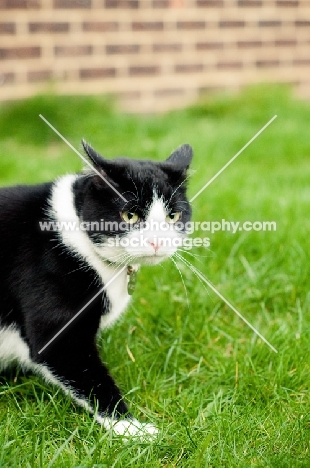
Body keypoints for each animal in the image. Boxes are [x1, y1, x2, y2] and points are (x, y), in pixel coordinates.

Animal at [0, 142, 191, 438]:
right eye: (130, 215)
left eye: (173, 216)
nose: (157, 241)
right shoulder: (58, 331)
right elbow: (87, 374)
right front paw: (131, 428)